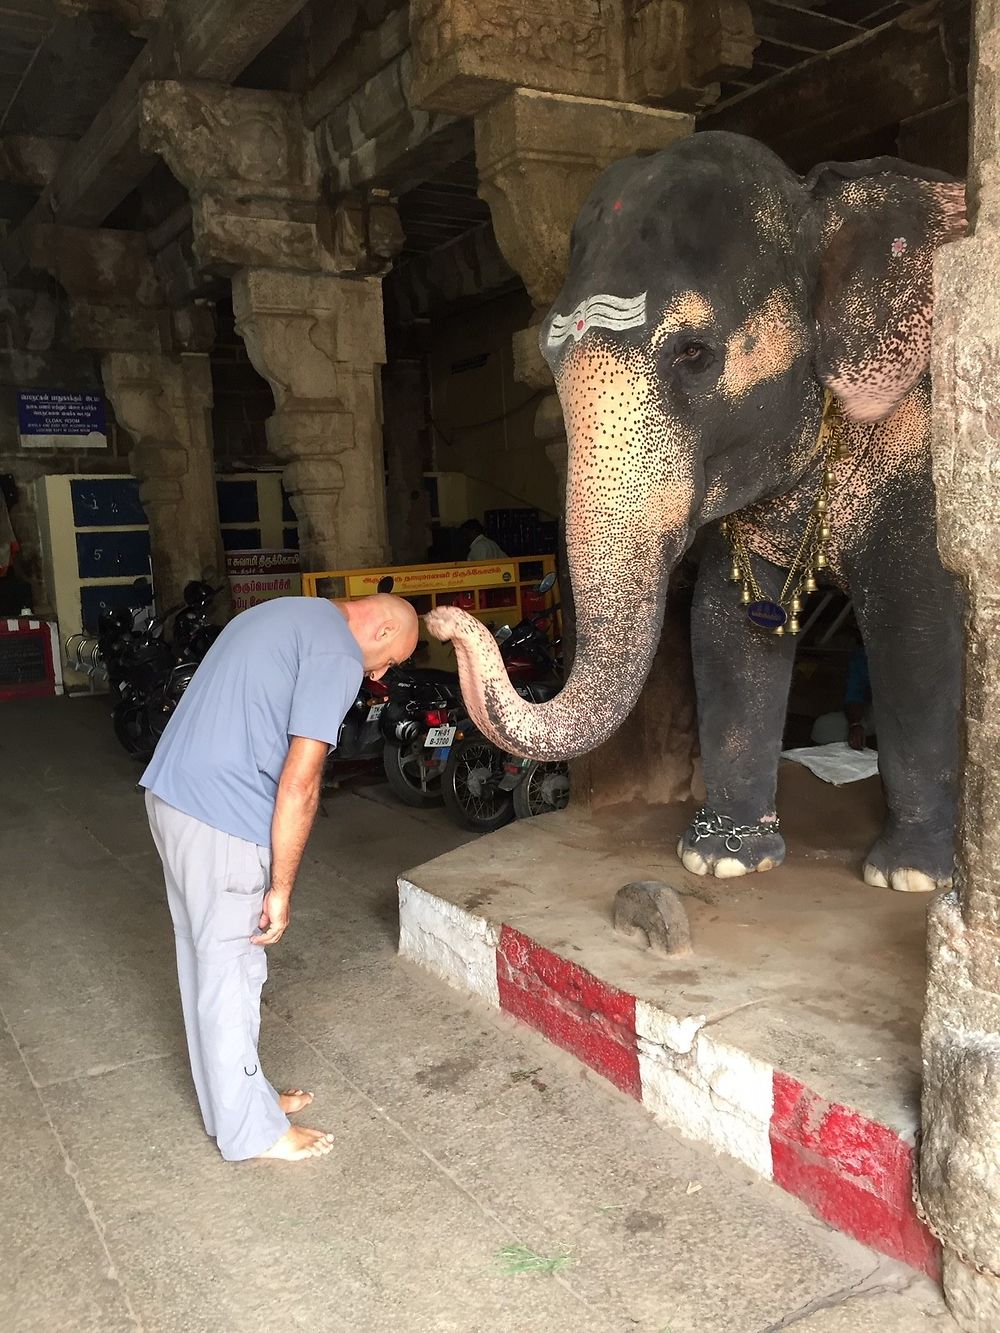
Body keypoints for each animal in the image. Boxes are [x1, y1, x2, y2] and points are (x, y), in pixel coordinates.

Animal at [432, 132, 970, 895]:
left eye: (694, 353)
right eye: (548, 358)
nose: (443, 620)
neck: (816, 196)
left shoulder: (924, 438)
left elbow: (914, 620)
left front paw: (910, 878)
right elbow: (724, 623)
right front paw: (722, 858)